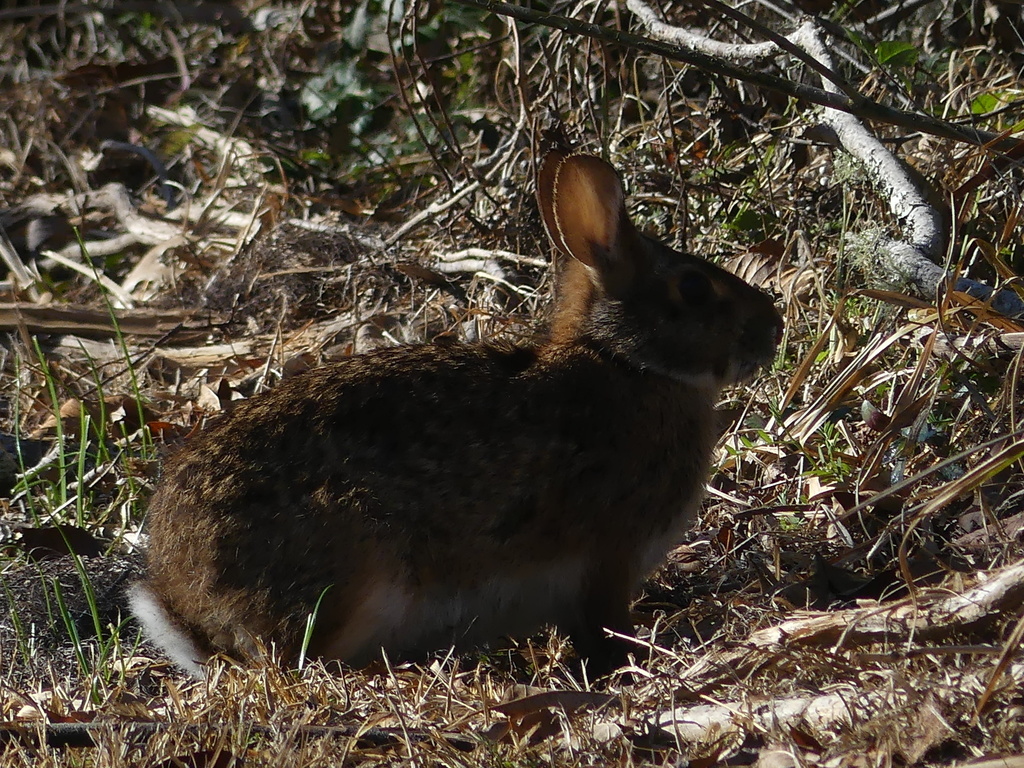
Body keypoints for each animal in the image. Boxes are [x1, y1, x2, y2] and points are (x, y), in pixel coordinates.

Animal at [129, 150, 783, 678]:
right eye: (693, 289)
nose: (773, 328)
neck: (627, 362)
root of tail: (190, 611)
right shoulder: (607, 556)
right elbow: (600, 624)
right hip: (354, 569)